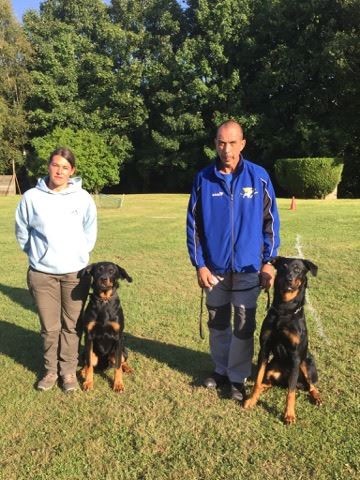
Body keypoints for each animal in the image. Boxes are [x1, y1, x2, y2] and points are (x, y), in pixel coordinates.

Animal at [81, 260, 133, 392]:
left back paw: (128, 368)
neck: (104, 300)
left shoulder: (118, 337)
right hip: (86, 352)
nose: (104, 279)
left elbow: (118, 366)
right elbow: (89, 364)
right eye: (98, 270)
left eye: (112, 271)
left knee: (122, 360)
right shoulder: (89, 336)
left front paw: (118, 384)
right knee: (88, 362)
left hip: (123, 350)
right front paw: (88, 382)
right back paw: (83, 371)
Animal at [243, 256, 322, 426]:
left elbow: (291, 393)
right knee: (267, 383)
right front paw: (252, 400)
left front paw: (289, 415)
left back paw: (317, 397)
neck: (284, 310)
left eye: (298, 269)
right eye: (283, 267)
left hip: (306, 363)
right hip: (272, 368)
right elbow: (258, 380)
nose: (288, 279)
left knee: (310, 385)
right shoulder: (264, 349)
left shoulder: (296, 356)